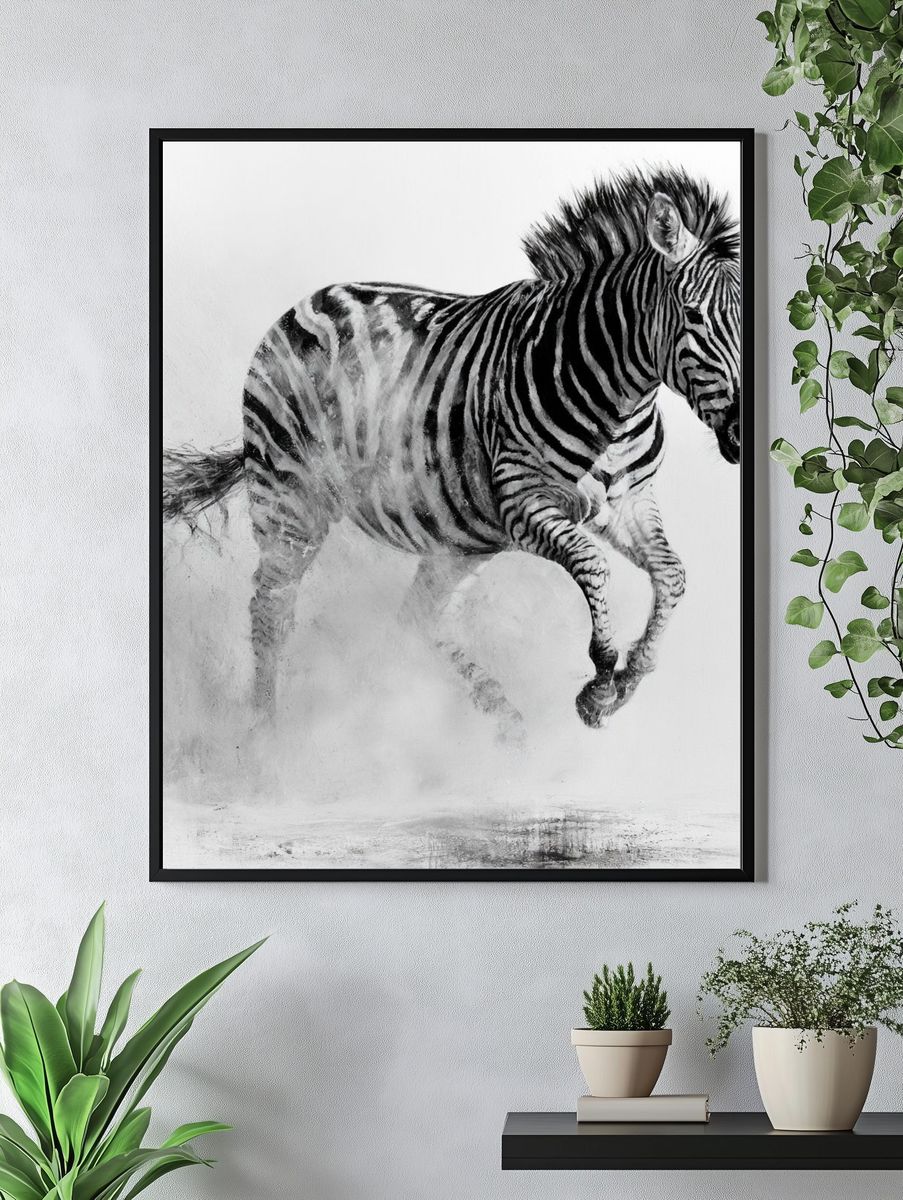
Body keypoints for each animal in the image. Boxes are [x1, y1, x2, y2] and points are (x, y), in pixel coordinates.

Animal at [163, 166, 741, 735]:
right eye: (693, 315)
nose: (739, 433)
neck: (616, 402)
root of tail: (308, 300)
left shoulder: (630, 500)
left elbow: (672, 573)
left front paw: (632, 675)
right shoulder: (523, 501)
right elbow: (592, 563)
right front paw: (600, 683)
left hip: (460, 539)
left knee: (418, 619)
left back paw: (503, 724)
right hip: (289, 496)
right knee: (272, 609)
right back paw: (265, 738)